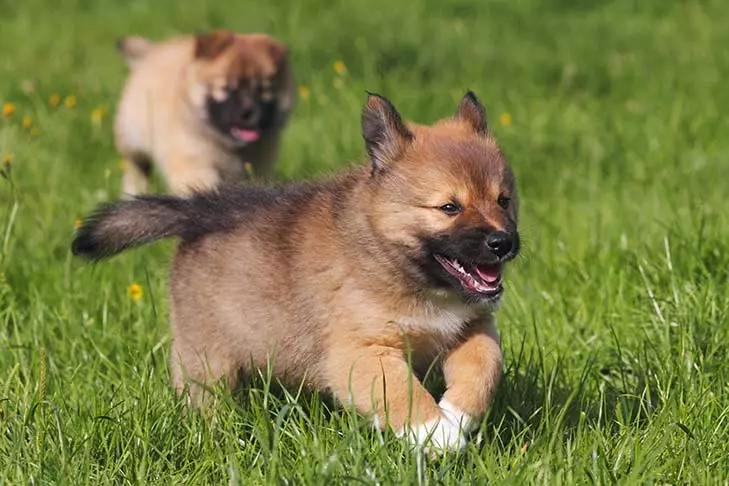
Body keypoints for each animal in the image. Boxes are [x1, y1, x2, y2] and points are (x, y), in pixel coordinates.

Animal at [114, 29, 296, 196]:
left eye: (263, 90)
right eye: (225, 88)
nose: (248, 112)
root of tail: (151, 52)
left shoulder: (259, 165)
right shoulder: (193, 159)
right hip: (133, 142)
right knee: (136, 171)